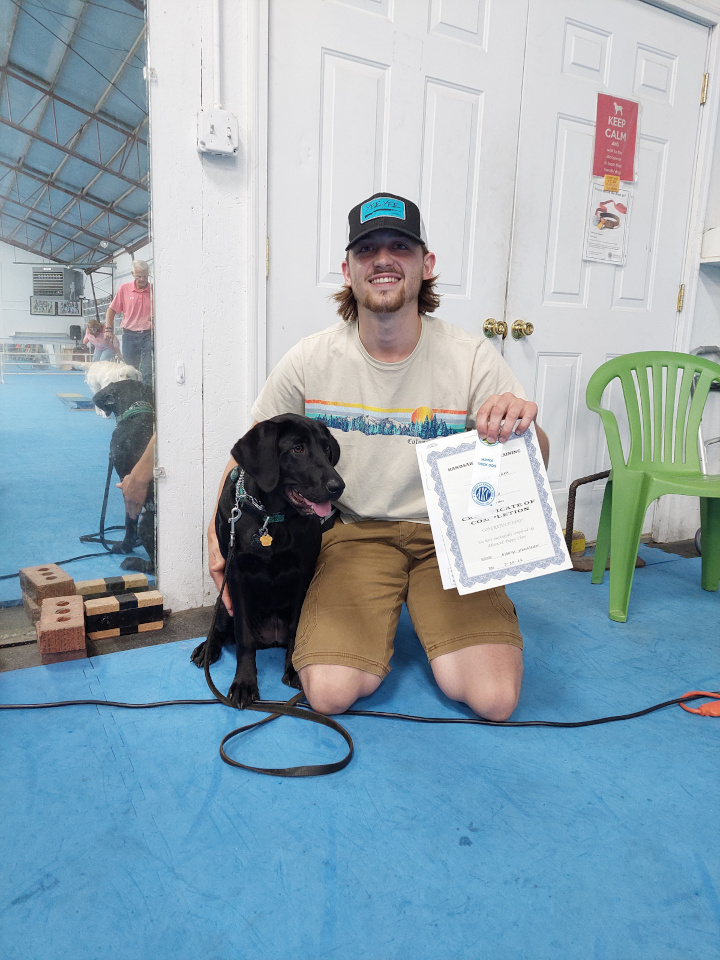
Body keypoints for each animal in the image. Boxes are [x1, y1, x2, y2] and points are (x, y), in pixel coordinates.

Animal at [93, 376, 155, 572]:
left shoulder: (127, 485)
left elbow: (129, 521)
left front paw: (125, 546)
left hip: (146, 522)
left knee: (153, 567)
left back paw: (133, 562)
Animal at [193, 416, 344, 708]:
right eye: (297, 449)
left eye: (326, 449)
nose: (338, 487)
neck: (271, 517)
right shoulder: (235, 575)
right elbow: (244, 638)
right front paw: (244, 683)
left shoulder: (303, 573)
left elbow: (296, 627)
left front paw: (293, 670)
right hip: (223, 599)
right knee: (219, 627)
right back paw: (206, 649)